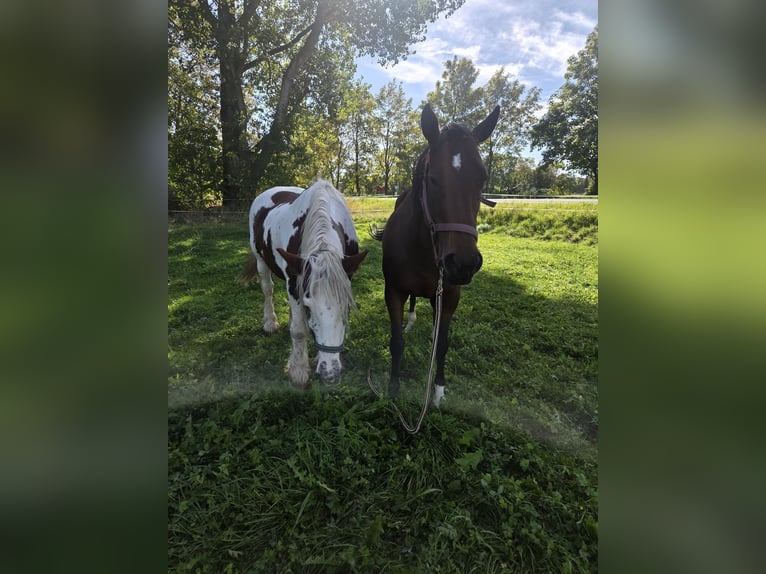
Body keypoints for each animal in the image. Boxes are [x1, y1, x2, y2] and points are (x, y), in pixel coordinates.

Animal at [238, 179, 368, 387]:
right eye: (308, 307)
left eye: (347, 307)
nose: (330, 373)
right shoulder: (294, 279)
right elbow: (299, 330)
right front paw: (298, 369)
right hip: (261, 261)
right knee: (268, 290)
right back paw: (270, 322)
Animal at [373, 103, 500, 408]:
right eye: (432, 179)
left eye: (482, 178)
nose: (463, 264)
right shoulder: (393, 291)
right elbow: (396, 342)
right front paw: (393, 388)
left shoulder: (450, 296)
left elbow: (442, 344)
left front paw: (439, 391)